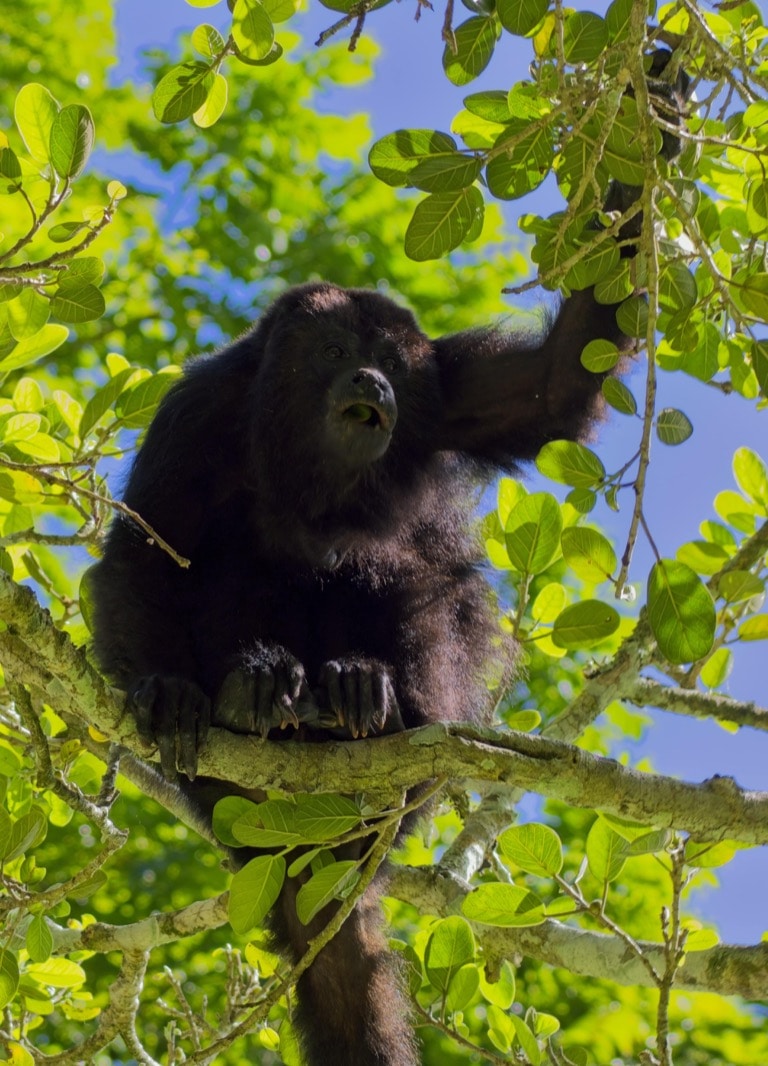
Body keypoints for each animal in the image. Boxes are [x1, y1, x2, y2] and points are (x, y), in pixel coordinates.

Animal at [91, 50, 691, 1066]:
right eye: (335, 348)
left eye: (390, 358)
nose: (372, 380)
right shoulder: (197, 410)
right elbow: (145, 551)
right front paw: (167, 689)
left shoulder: (445, 391)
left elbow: (554, 385)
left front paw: (656, 112)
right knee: (247, 567)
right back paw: (256, 692)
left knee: (422, 586)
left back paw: (369, 699)